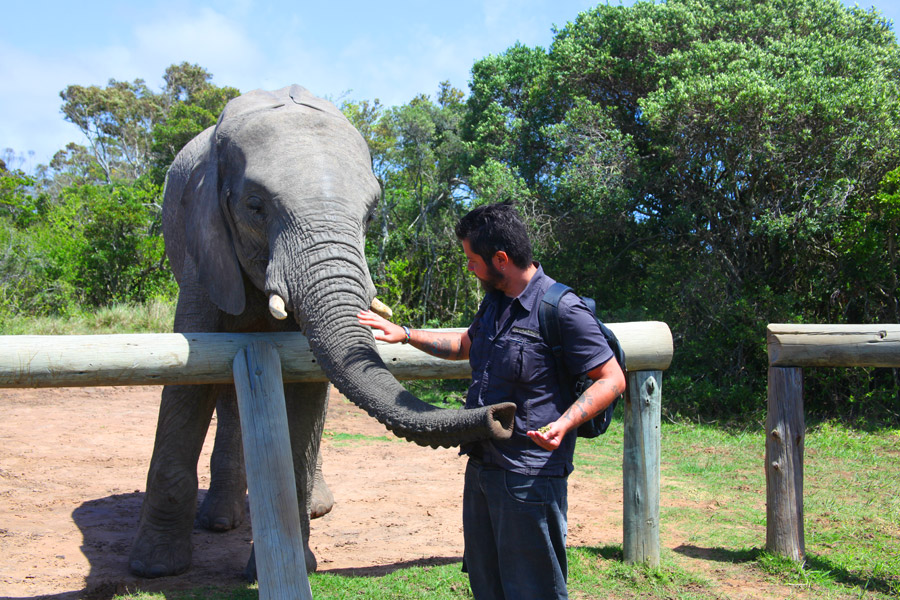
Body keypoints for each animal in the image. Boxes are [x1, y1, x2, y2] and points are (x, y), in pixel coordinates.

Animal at [130, 83, 516, 576]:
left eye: (370, 216)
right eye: (255, 207)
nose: (503, 415)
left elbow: (308, 384)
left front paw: (293, 565)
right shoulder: (203, 249)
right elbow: (189, 382)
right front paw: (155, 568)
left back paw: (301, 510)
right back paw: (218, 522)